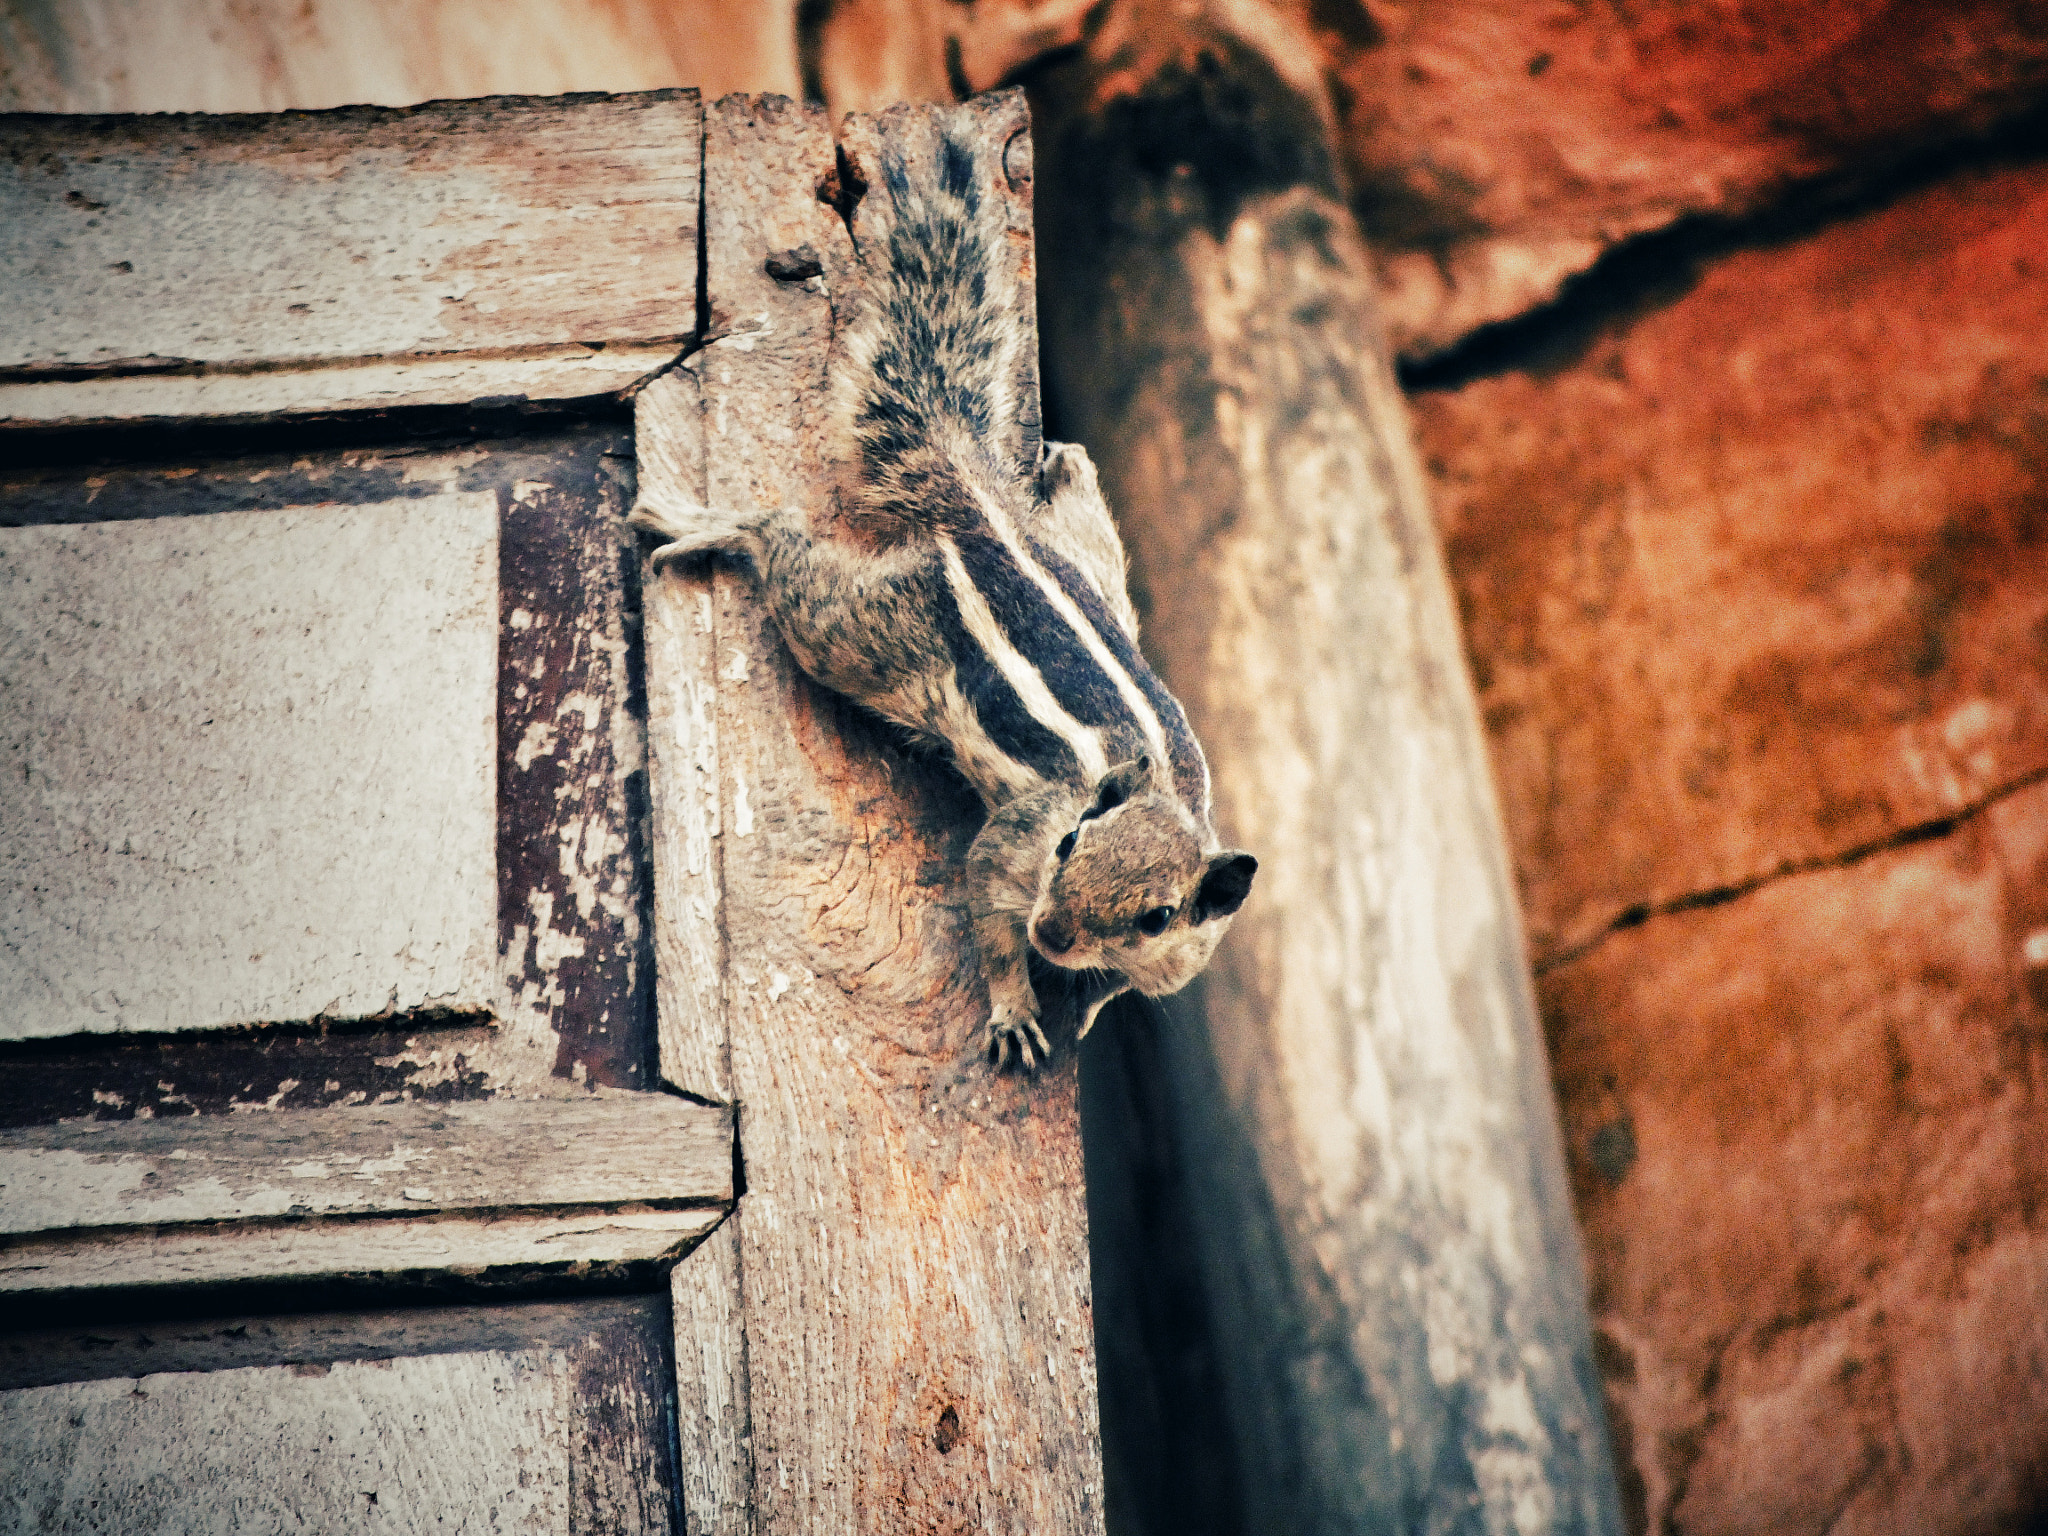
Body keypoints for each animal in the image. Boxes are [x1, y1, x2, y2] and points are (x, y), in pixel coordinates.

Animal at [630, 121, 1255, 1068]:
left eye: (1155, 917)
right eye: (1069, 843)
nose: (1054, 935)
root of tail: (984, 514)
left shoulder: (1184, 954)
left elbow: (1124, 984)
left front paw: (1090, 1002)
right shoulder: (1015, 842)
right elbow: (987, 908)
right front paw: (1014, 1007)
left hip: (1089, 563)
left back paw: (1065, 463)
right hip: (862, 630)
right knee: (781, 545)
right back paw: (716, 527)